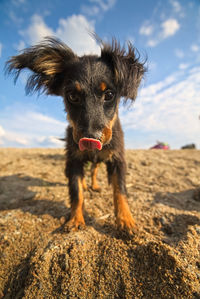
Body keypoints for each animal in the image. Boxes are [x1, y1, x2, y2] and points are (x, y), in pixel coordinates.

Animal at [5, 37, 145, 234]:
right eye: (72, 96)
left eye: (109, 94)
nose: (90, 139)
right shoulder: (73, 160)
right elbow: (76, 191)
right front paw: (75, 220)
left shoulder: (117, 159)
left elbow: (120, 190)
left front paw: (126, 221)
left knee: (94, 170)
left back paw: (94, 186)